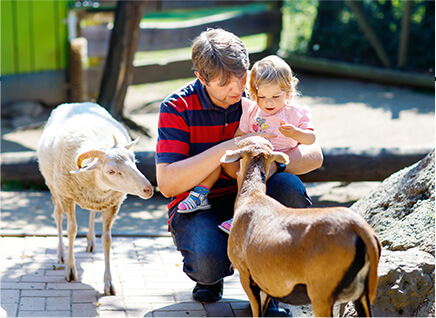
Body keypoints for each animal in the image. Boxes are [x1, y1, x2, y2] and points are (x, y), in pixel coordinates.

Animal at [37, 102, 153, 296]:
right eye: (111, 171)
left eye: (134, 160)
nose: (148, 189)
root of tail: (76, 103)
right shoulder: (67, 195)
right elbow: (72, 230)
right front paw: (70, 270)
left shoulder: (113, 203)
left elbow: (107, 239)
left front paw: (109, 283)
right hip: (54, 188)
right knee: (58, 216)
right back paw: (61, 254)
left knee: (91, 212)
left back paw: (91, 241)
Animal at [220, 135, 380, 316]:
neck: (252, 197)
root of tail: (360, 230)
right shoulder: (266, 282)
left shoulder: (245, 273)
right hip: (361, 295)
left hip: (321, 293)